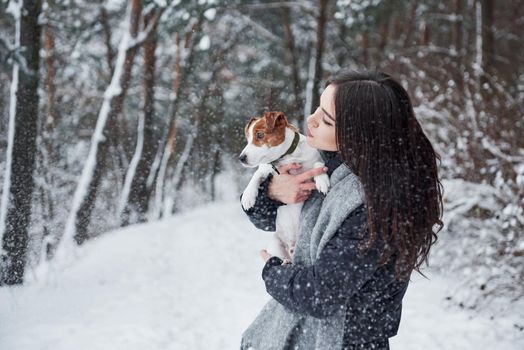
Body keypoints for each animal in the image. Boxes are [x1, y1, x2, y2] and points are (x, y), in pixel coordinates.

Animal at [239, 110, 330, 262]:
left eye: (260, 135)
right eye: (248, 138)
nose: (241, 158)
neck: (287, 158)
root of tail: (292, 247)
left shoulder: (314, 160)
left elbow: (318, 164)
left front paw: (322, 180)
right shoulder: (266, 169)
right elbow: (256, 176)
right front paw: (248, 196)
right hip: (276, 244)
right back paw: (286, 261)